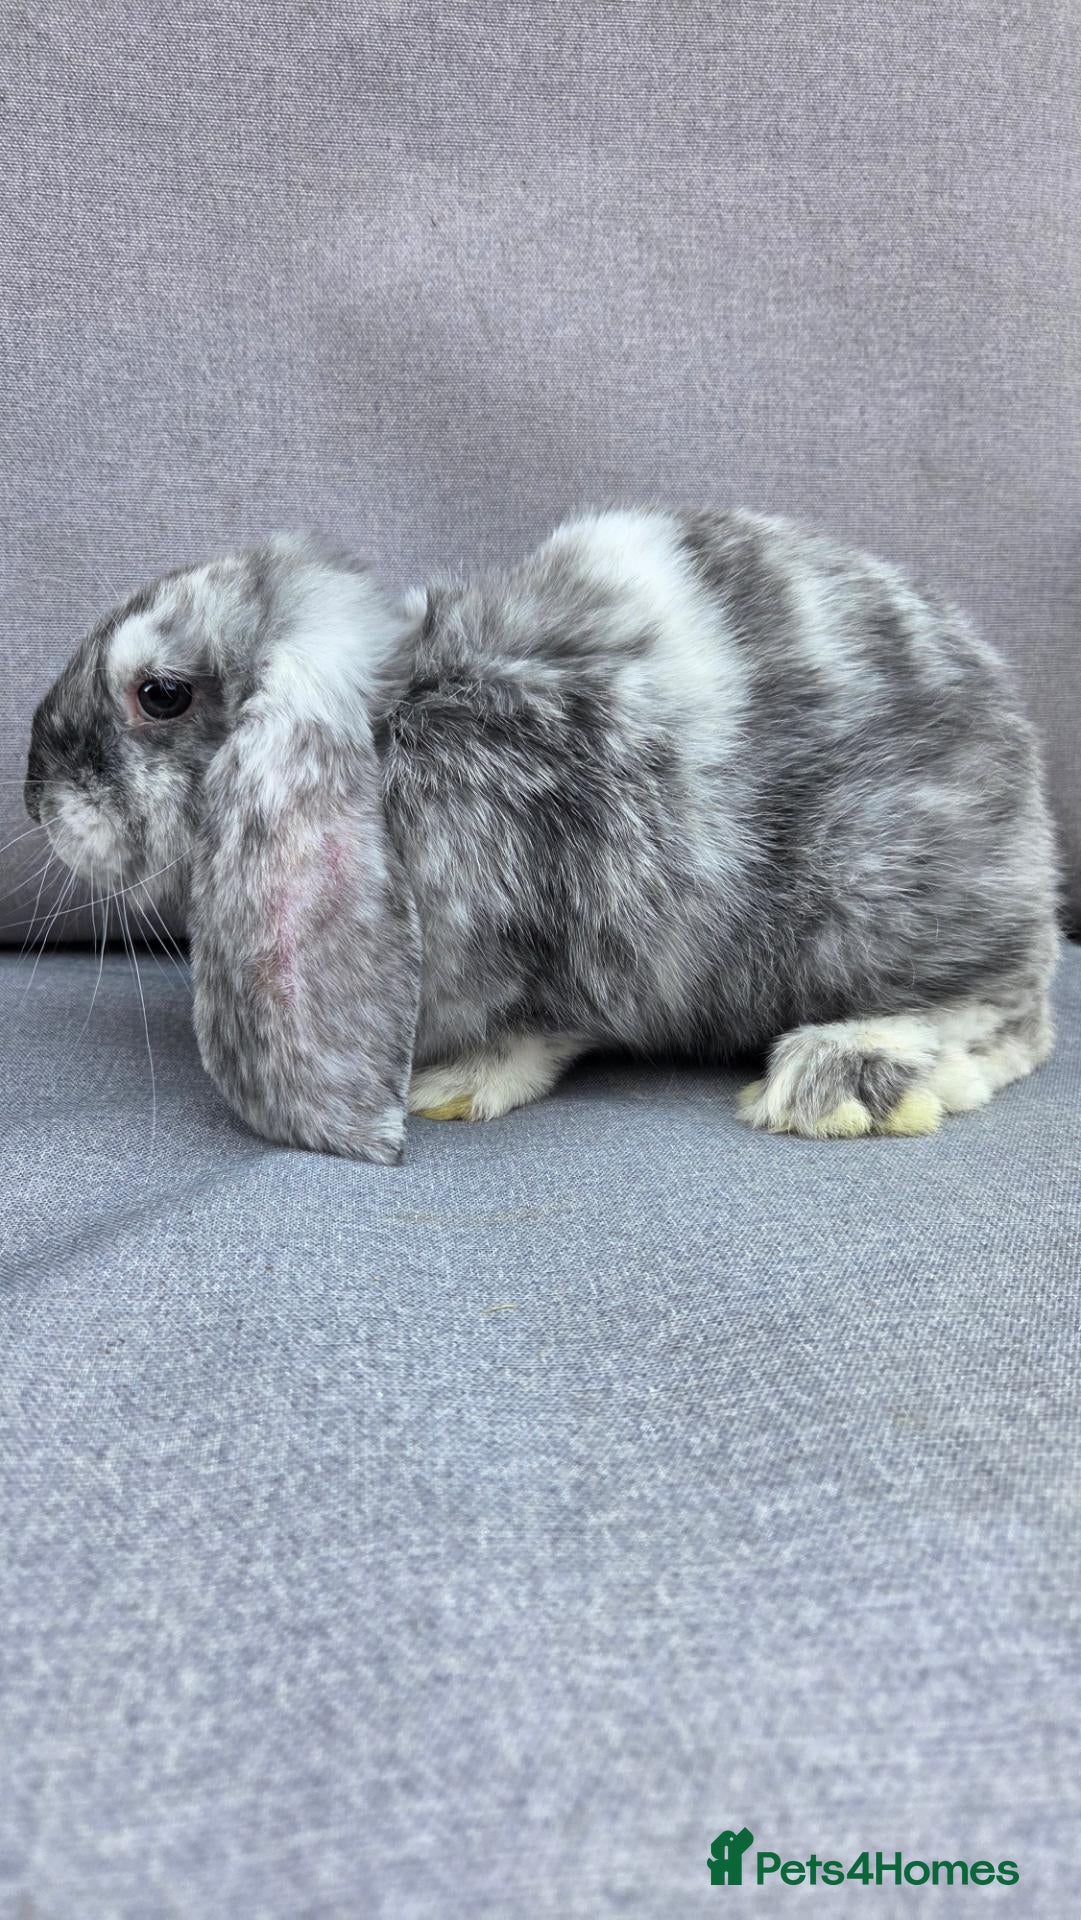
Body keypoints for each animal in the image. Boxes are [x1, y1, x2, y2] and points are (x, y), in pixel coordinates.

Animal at [24, 508, 1058, 1162]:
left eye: (160, 694)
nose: (36, 797)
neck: (397, 726)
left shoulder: (561, 936)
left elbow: (538, 1028)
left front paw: (446, 1088)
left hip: (871, 901)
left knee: (1014, 1011)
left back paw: (849, 1081)